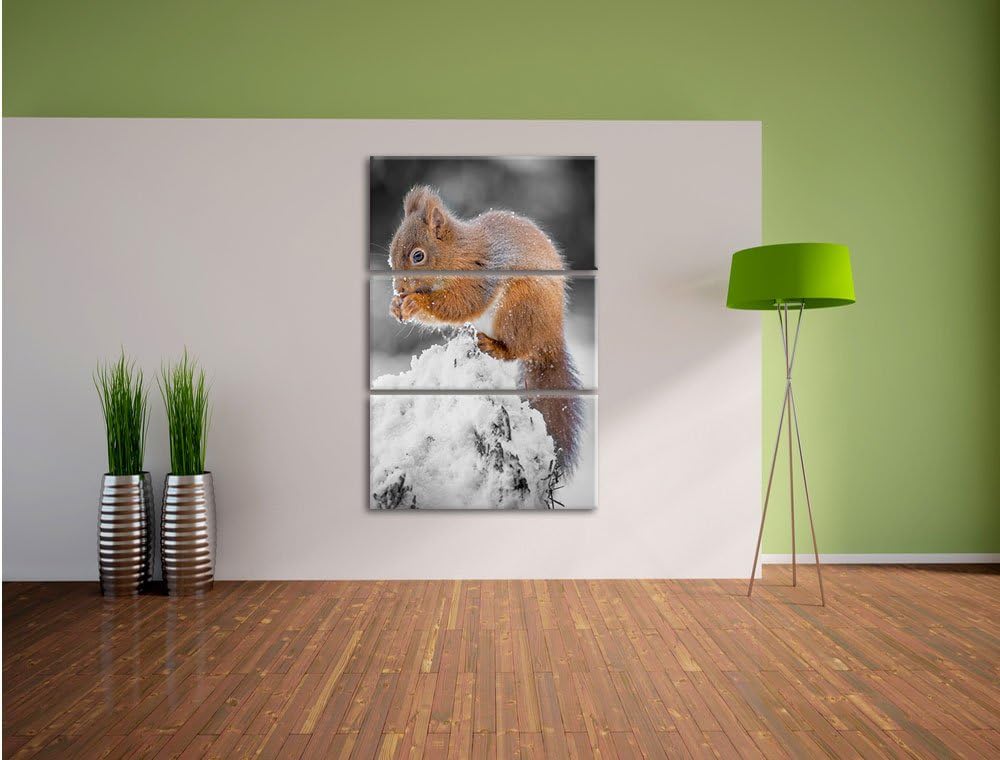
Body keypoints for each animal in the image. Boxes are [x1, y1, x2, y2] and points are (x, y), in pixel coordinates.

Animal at [387, 185, 583, 473]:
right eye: (391, 254)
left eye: (418, 256)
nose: (399, 288)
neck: (458, 252)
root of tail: (551, 336)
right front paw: (395, 305)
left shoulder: (480, 275)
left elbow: (461, 303)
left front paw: (414, 303)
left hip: (518, 308)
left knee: (517, 349)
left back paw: (494, 346)